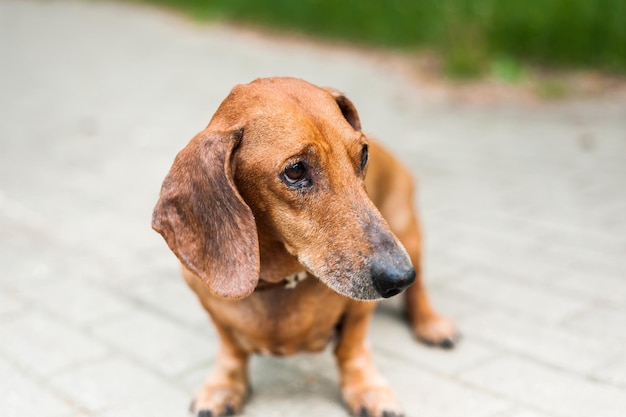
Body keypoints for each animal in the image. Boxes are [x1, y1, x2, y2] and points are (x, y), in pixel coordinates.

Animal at [151, 76, 454, 414]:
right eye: (295, 171)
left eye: (363, 153)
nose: (399, 277)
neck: (280, 280)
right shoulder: (211, 306)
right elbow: (231, 349)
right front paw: (223, 385)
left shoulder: (360, 312)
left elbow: (352, 348)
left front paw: (367, 389)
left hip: (407, 230)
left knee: (420, 288)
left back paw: (431, 323)